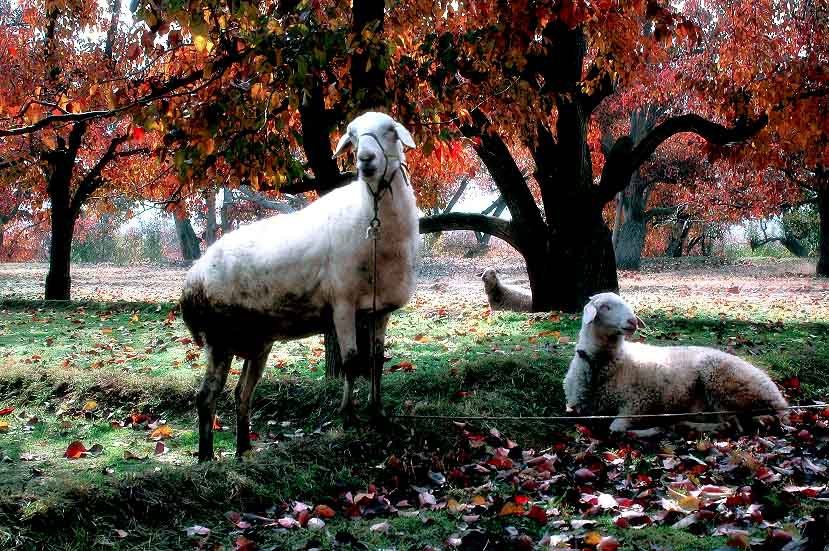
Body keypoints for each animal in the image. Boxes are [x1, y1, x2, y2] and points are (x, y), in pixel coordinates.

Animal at [178, 111, 418, 462]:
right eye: (352, 135)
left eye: (390, 130)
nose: (366, 160)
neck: (371, 218)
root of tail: (193, 278)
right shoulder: (343, 304)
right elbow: (350, 361)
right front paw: (348, 418)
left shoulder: (379, 310)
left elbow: (376, 361)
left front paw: (377, 412)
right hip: (220, 339)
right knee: (206, 397)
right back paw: (207, 458)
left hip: (256, 342)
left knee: (241, 394)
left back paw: (243, 450)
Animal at [564, 294, 788, 436]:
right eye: (605, 306)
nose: (632, 321)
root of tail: (779, 399)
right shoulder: (577, 408)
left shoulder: (638, 404)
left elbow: (616, 427)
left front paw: (651, 429)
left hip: (723, 383)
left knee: (731, 424)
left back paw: (681, 425)